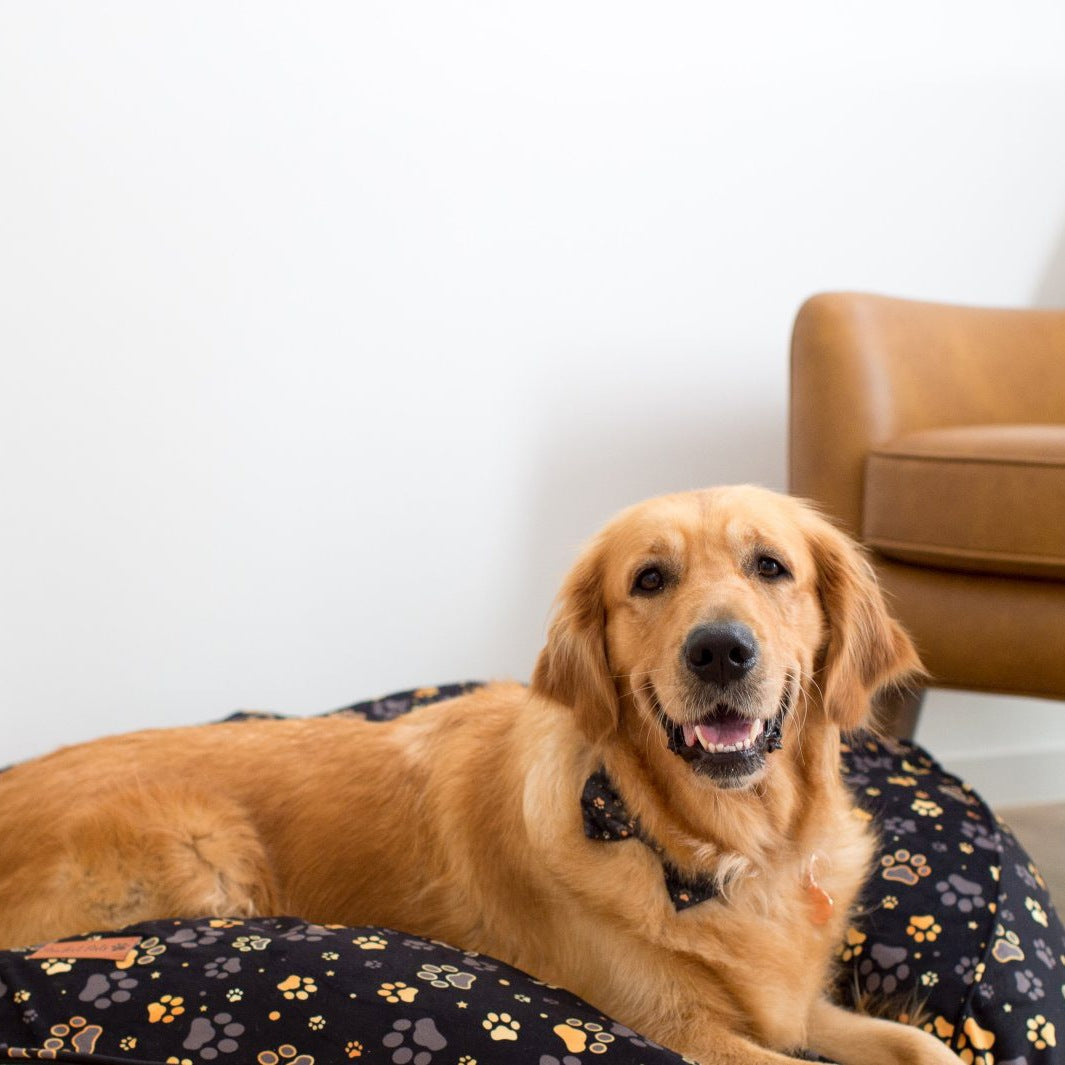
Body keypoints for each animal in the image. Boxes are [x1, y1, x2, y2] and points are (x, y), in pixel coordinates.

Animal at [0, 487, 967, 1060]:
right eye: (649, 579)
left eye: (771, 566)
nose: (720, 650)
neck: (724, 846)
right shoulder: (682, 1032)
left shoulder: (799, 1005)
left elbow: (932, 1046)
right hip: (200, 855)